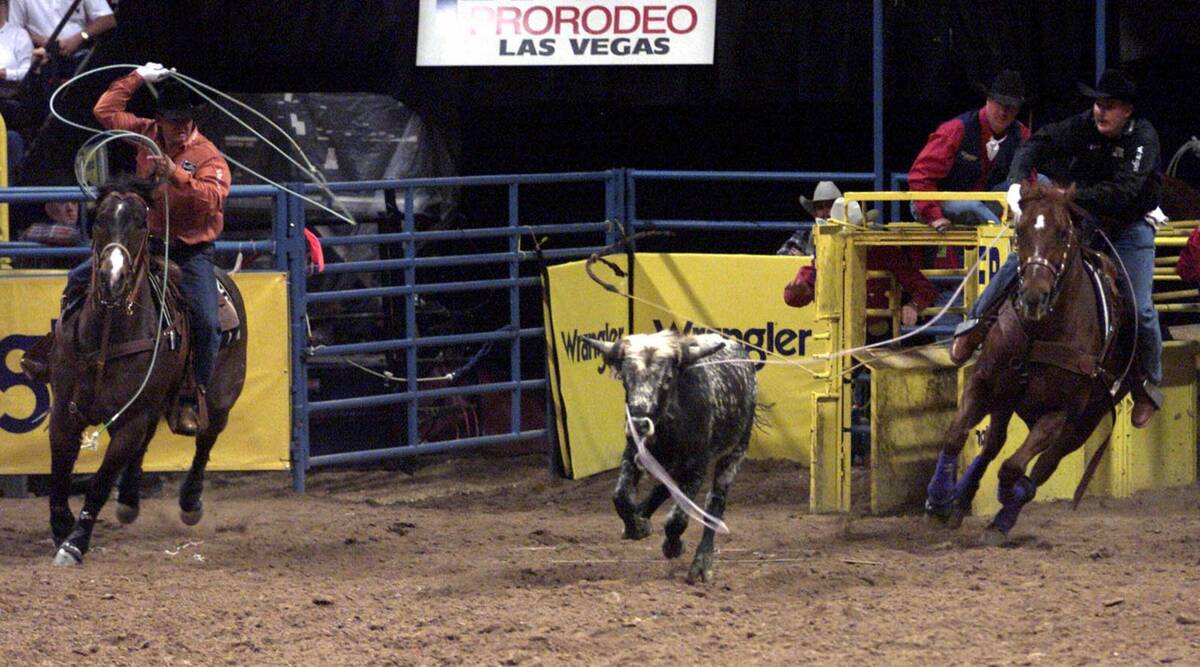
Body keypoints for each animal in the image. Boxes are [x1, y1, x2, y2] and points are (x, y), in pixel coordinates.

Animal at [46, 176, 248, 563]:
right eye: (99, 220)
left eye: (141, 223)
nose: (112, 278)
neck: (108, 334)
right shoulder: (64, 410)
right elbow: (60, 471)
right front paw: (61, 524)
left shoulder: (130, 420)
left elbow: (99, 482)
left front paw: (75, 542)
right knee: (149, 440)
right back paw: (128, 500)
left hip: (220, 398)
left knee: (206, 440)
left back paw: (190, 502)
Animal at [926, 182, 1132, 542]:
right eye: (1020, 231)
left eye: (1063, 232)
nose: (1035, 295)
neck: (1039, 331)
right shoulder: (984, 382)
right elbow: (955, 435)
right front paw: (939, 500)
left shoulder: (1059, 414)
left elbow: (1013, 468)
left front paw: (1007, 500)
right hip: (1006, 399)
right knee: (993, 444)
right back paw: (960, 499)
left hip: (1082, 423)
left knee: (1041, 467)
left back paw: (1004, 516)